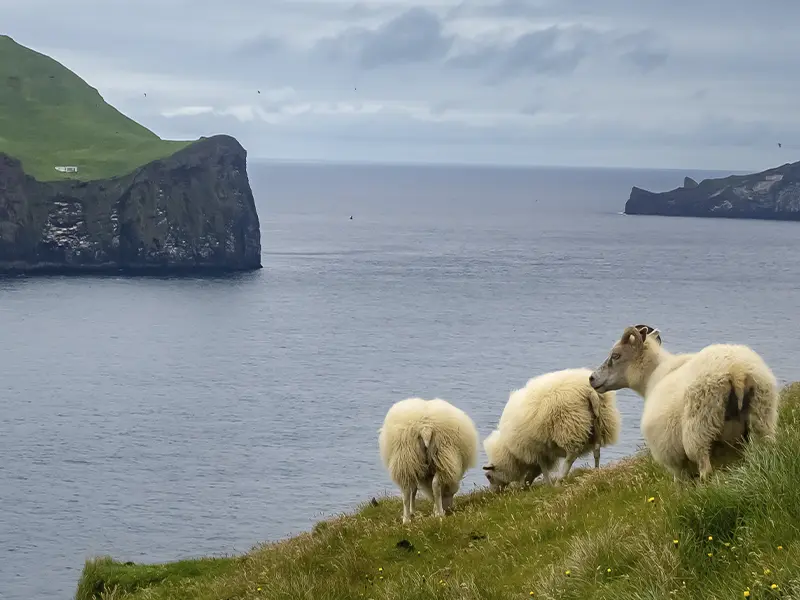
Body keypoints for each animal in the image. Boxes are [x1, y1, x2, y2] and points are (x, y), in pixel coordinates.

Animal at [478, 370, 620, 492]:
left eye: (489, 476)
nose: (494, 492)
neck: (510, 452)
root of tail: (590, 391)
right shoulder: (543, 451)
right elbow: (536, 471)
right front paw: (527, 484)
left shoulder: (536, 449)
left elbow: (543, 468)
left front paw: (546, 485)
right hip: (600, 423)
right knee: (597, 450)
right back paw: (596, 472)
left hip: (569, 427)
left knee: (571, 455)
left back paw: (560, 480)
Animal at [584, 324, 780, 482]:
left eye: (616, 355)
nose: (591, 378)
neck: (652, 376)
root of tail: (737, 371)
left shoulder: (673, 457)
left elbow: (679, 483)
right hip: (762, 417)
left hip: (699, 430)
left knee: (705, 469)